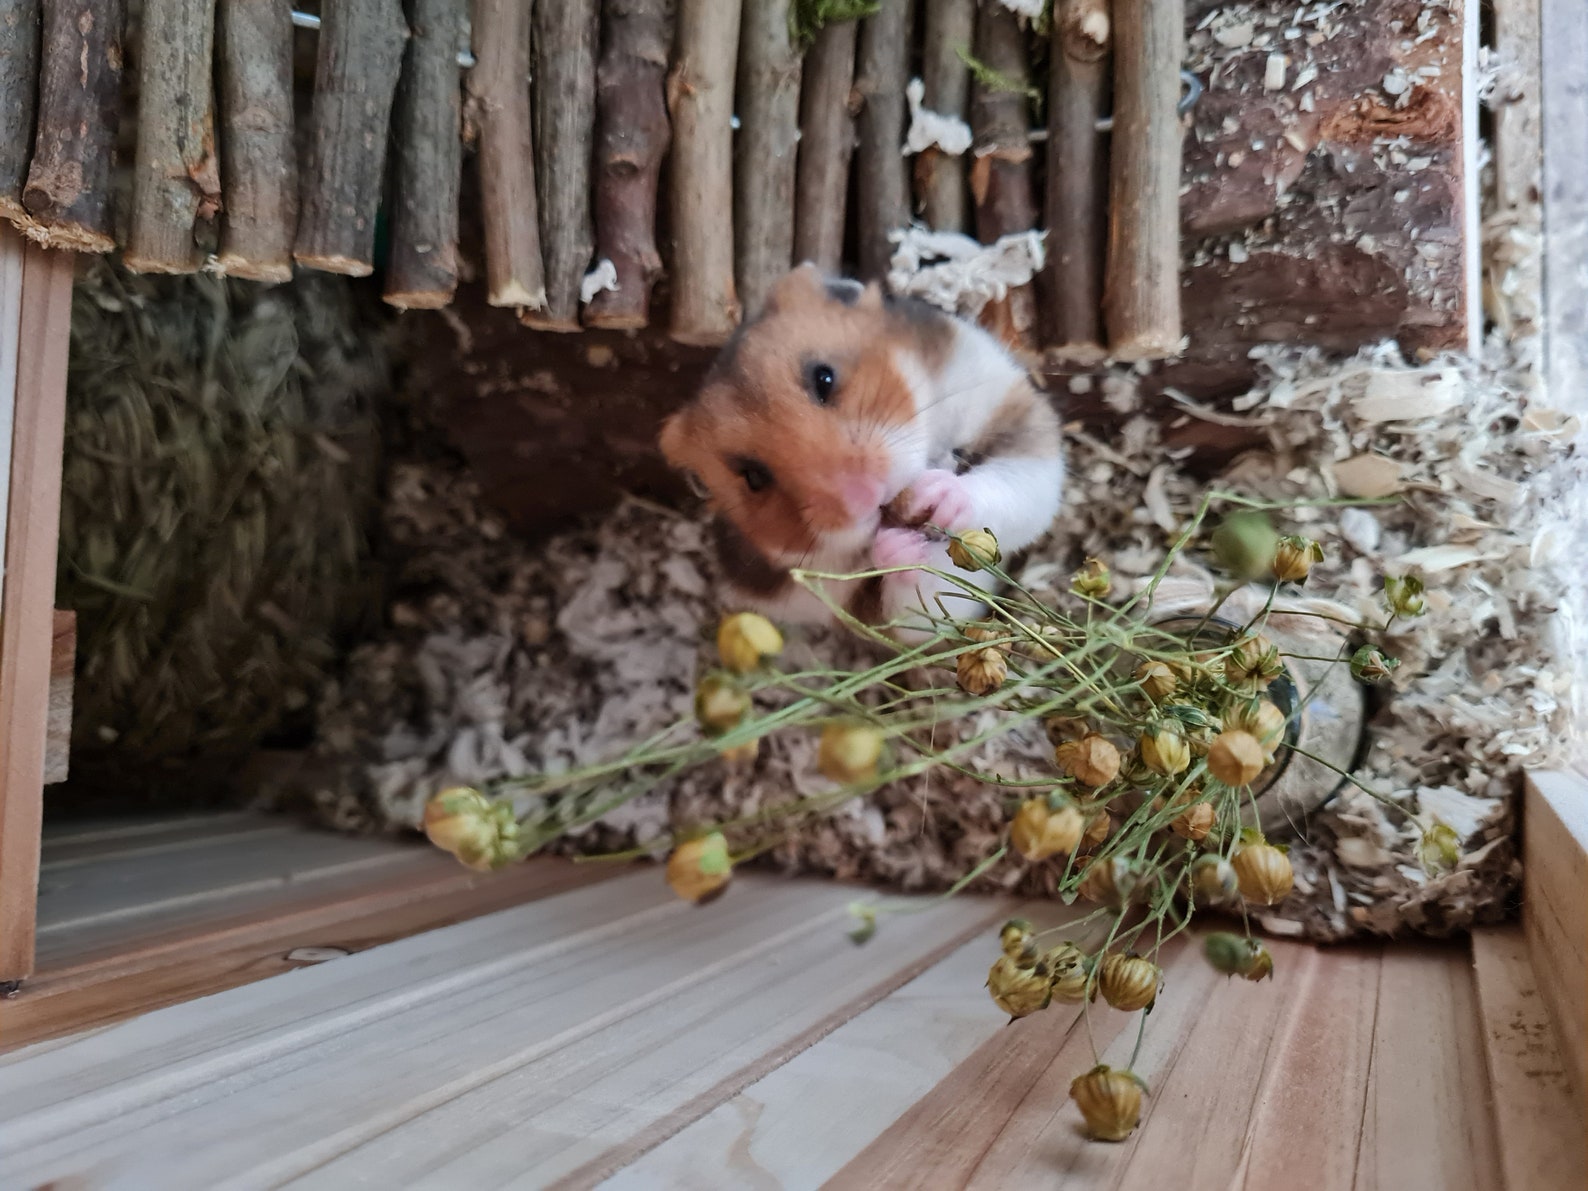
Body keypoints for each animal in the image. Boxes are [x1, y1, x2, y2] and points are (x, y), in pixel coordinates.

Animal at [660, 262, 1065, 635]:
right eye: (754, 477)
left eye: (824, 378)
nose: (865, 497)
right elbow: (920, 602)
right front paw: (897, 548)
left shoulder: (1017, 416)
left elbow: (1015, 484)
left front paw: (936, 495)